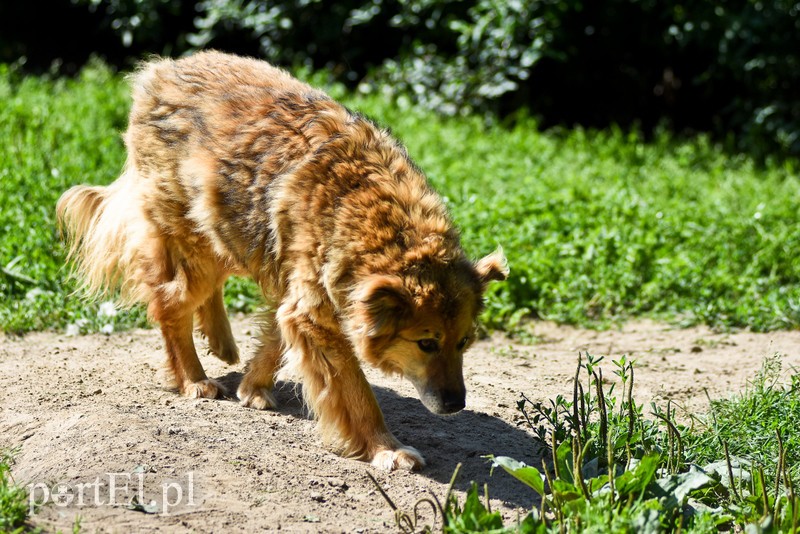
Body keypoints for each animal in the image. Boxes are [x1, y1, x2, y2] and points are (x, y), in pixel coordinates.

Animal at [54, 51, 506, 474]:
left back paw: (222, 341)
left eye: (464, 342)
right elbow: (357, 393)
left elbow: (274, 336)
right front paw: (386, 448)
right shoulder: (315, 313)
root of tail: (159, 70)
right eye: (426, 343)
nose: (456, 404)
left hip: (231, 230)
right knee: (168, 303)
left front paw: (253, 386)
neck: (373, 214)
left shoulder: (298, 294)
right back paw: (194, 379)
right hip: (198, 241)